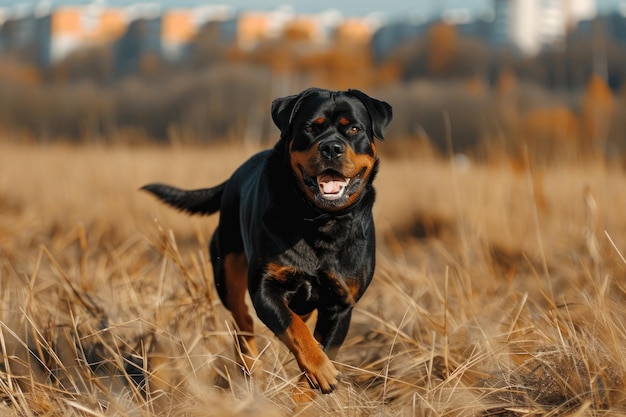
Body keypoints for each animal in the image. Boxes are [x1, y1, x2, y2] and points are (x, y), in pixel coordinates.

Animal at [141, 88, 390, 394]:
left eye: (353, 129)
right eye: (310, 128)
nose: (331, 147)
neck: (319, 221)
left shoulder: (341, 305)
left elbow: (318, 348)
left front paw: (309, 387)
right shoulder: (265, 288)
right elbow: (294, 329)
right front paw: (320, 370)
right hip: (226, 270)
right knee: (243, 320)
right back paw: (250, 367)